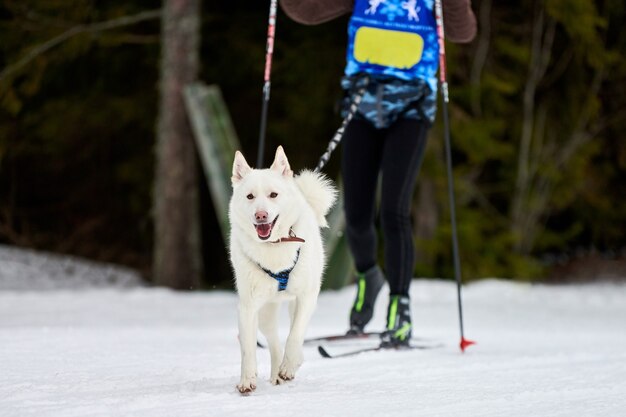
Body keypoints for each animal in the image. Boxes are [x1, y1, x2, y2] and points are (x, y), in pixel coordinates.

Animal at [229, 145, 336, 392]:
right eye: (250, 196)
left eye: (273, 195)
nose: (261, 215)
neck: (274, 246)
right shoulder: (247, 307)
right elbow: (248, 347)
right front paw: (247, 379)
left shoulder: (307, 296)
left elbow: (295, 334)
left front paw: (289, 366)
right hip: (265, 312)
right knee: (274, 342)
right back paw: (277, 372)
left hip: (295, 303)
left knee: (293, 335)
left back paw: (290, 365)